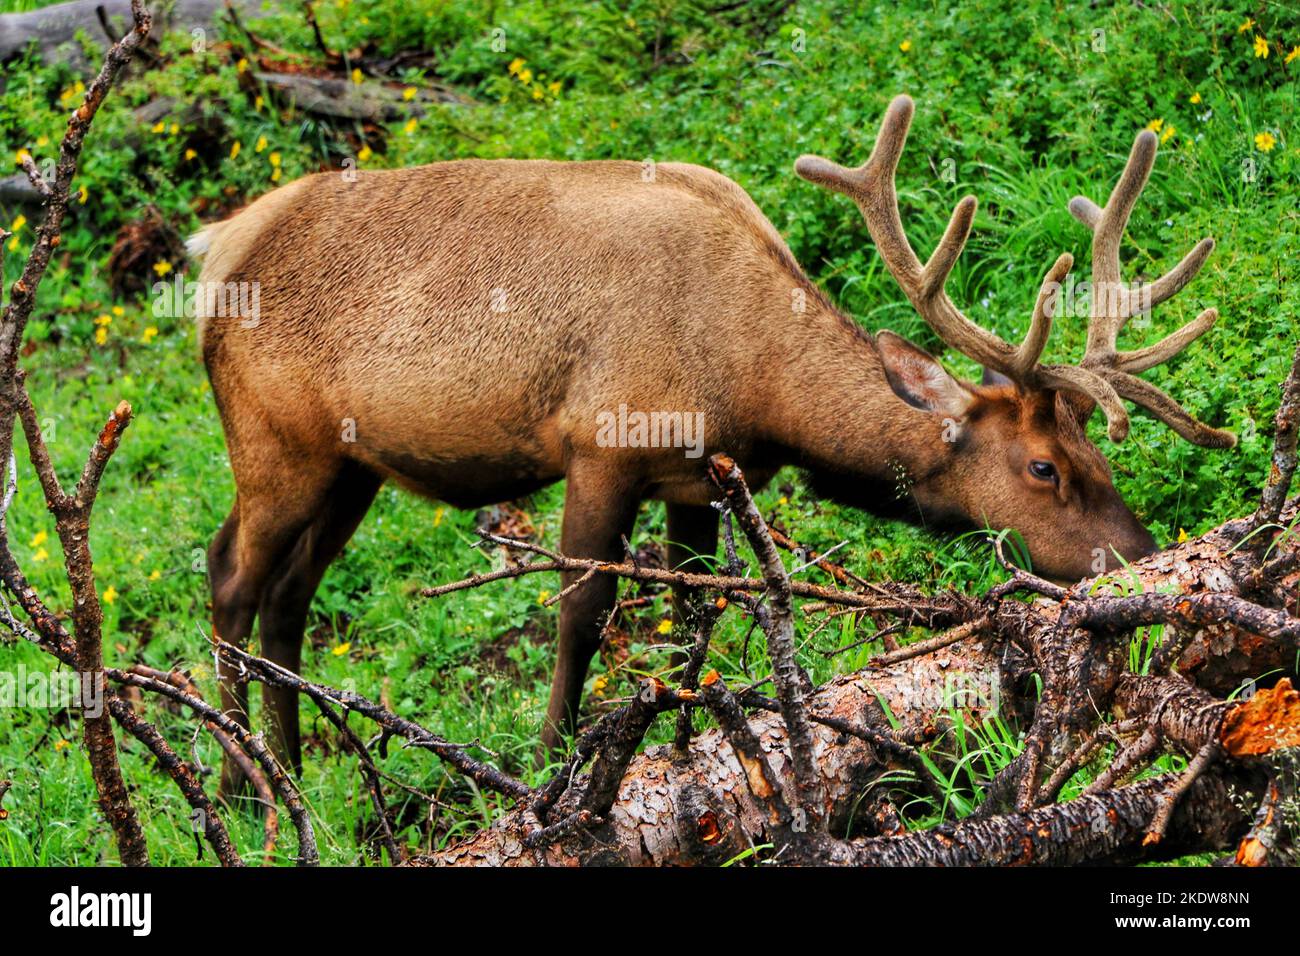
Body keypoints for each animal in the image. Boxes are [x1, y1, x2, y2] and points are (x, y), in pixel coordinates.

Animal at [190, 94, 1233, 797]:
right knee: (229, 574)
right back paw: (245, 784)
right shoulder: (601, 444)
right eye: (1043, 467)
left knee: (287, 597)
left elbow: (695, 617)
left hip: (351, 468)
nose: (1143, 557)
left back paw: (291, 768)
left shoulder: (695, 481)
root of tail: (216, 253)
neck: (748, 381)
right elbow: (583, 613)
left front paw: (684, 743)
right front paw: (550, 769)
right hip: (276, 443)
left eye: (1102, 459)